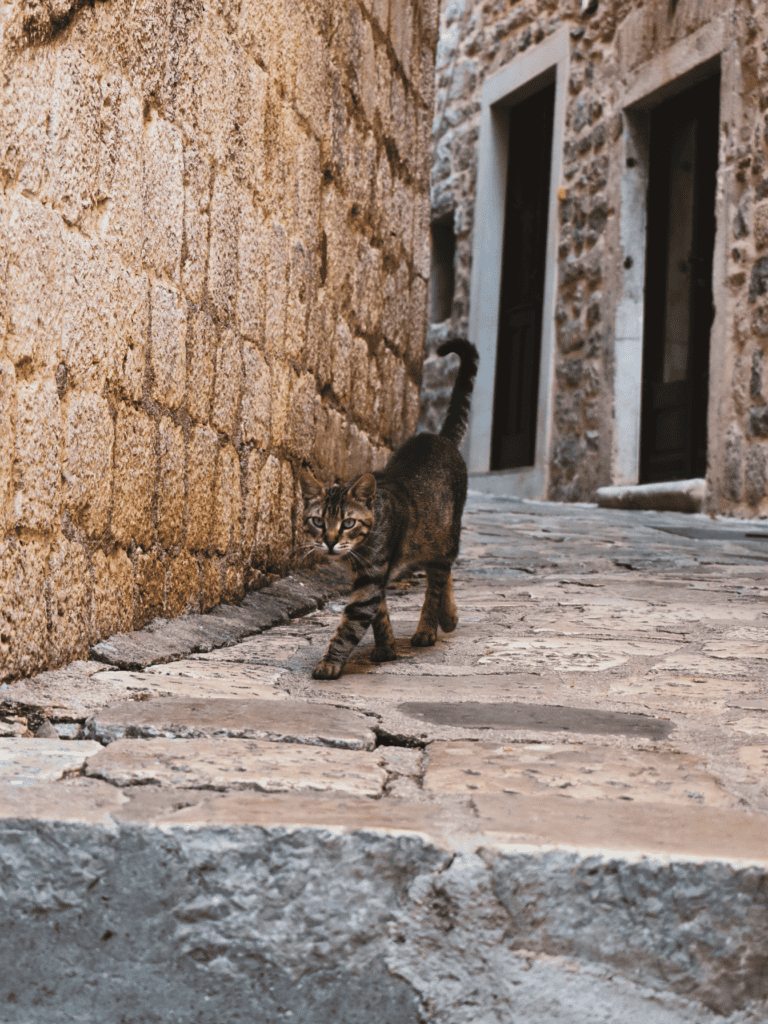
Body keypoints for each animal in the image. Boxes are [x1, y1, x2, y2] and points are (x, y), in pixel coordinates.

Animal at [296, 339, 479, 679]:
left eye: (348, 523)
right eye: (317, 521)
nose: (330, 542)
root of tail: (439, 438)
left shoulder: (372, 574)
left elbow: (351, 623)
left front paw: (330, 662)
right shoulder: (367, 575)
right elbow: (380, 613)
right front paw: (386, 647)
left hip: (445, 534)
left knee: (437, 580)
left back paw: (429, 628)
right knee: (444, 573)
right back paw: (446, 619)